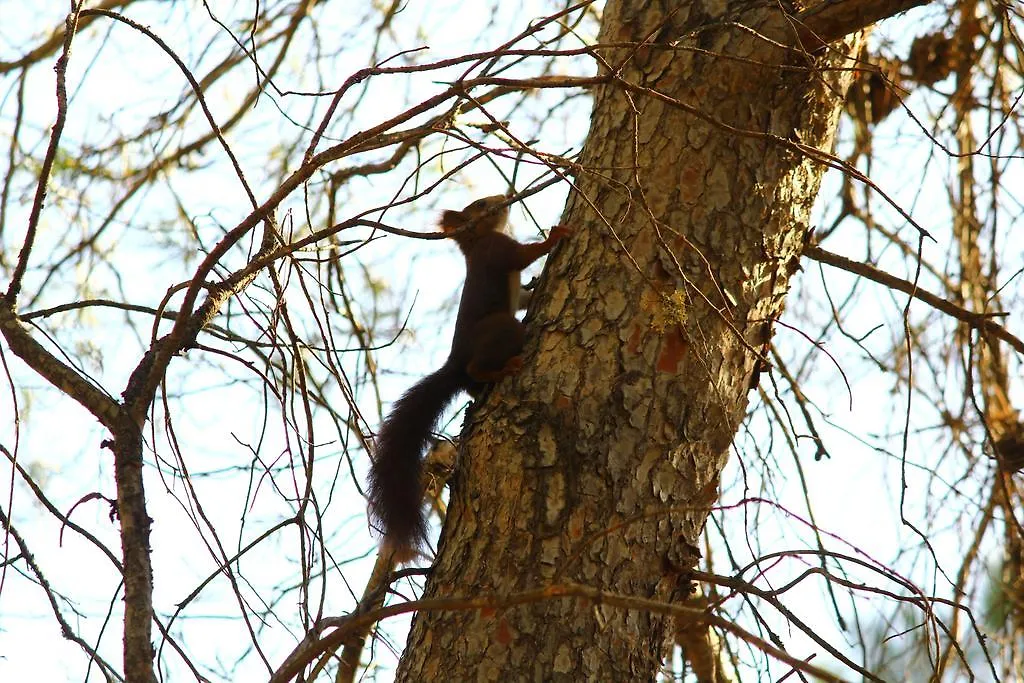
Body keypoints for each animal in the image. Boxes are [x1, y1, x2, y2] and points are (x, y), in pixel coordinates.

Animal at [368, 194, 573, 565]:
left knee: (471, 384)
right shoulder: (498, 250)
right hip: (502, 328)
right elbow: (523, 256)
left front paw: (534, 284)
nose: (504, 197)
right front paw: (553, 236)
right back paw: (501, 368)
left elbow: (523, 294)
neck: (477, 241)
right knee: (480, 366)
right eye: (479, 205)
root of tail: (457, 362)